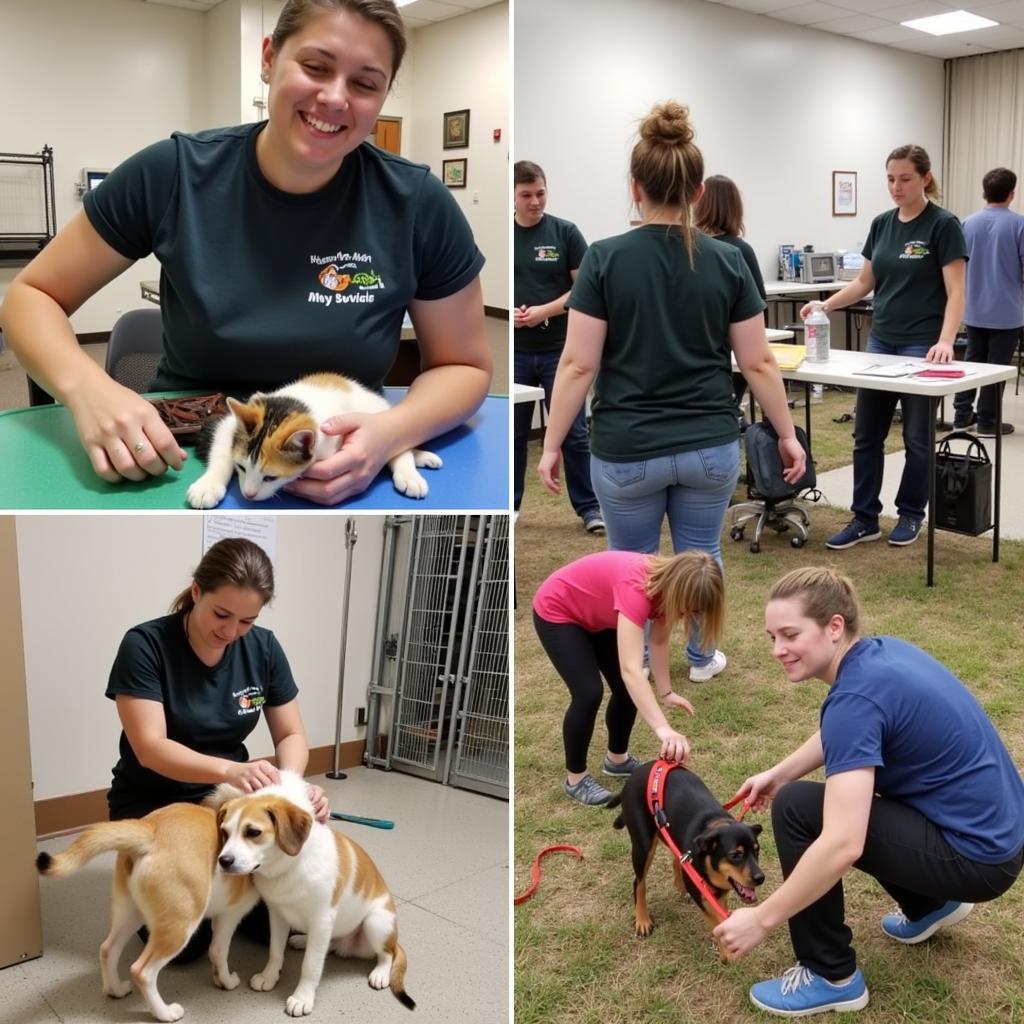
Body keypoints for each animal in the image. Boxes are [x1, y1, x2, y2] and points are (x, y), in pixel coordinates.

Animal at [36, 802, 260, 1019]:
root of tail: (151, 831)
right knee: (142, 972)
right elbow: (218, 952)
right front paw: (227, 981)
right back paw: (164, 1013)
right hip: (180, 925)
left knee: (108, 949)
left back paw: (115, 989)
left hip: (130, 911)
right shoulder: (230, 915)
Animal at [186, 372, 442, 507]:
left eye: (270, 477)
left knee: (398, 444)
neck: (300, 403)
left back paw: (411, 473)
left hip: (379, 414)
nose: (248, 494)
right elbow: (221, 453)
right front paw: (207, 486)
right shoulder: (230, 424)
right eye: (240, 467)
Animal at [212, 770, 415, 1015]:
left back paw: (380, 973)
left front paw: (302, 997)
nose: (224, 861)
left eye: (253, 832)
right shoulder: (277, 915)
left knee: (386, 954)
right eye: (225, 832)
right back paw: (302, 940)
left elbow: (311, 965)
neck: (289, 866)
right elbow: (275, 951)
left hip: (375, 923)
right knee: (329, 945)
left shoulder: (322, 919)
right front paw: (269, 977)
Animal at [602, 761, 765, 958]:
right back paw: (642, 920)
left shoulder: (718, 892)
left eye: (757, 851)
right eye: (735, 855)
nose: (760, 878)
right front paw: (726, 952)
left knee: (675, 860)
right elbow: (715, 921)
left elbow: (722, 918)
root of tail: (635, 775)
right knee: (638, 883)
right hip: (643, 846)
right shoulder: (699, 892)